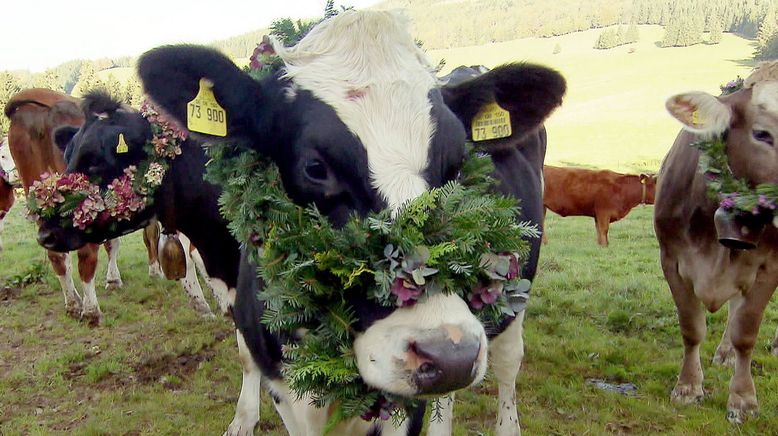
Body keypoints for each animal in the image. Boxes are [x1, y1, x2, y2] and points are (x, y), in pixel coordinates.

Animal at [39, 10, 560, 436]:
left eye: (456, 163)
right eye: (315, 167)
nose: (447, 355)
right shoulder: (279, 374)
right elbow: (246, 356)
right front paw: (242, 420)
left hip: (515, 289)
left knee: (507, 365)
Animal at [656, 63, 776, 424]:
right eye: (762, 134)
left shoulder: (768, 268)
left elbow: (746, 332)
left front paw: (743, 400)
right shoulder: (671, 260)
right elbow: (691, 328)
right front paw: (687, 388)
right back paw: (724, 354)